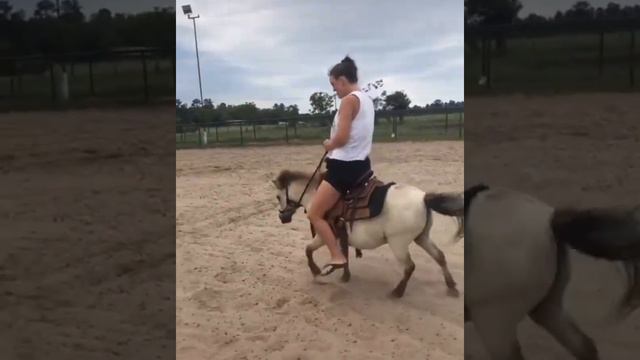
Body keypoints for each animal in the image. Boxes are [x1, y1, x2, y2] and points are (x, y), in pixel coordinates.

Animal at [272, 169, 464, 298]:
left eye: (277, 197)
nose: (282, 217)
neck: (315, 196)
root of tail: (423, 198)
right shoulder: (341, 237)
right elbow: (343, 255)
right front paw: (345, 275)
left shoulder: (322, 235)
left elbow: (308, 250)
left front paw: (317, 271)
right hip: (422, 237)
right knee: (439, 256)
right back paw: (452, 287)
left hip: (398, 243)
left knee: (410, 266)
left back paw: (397, 292)